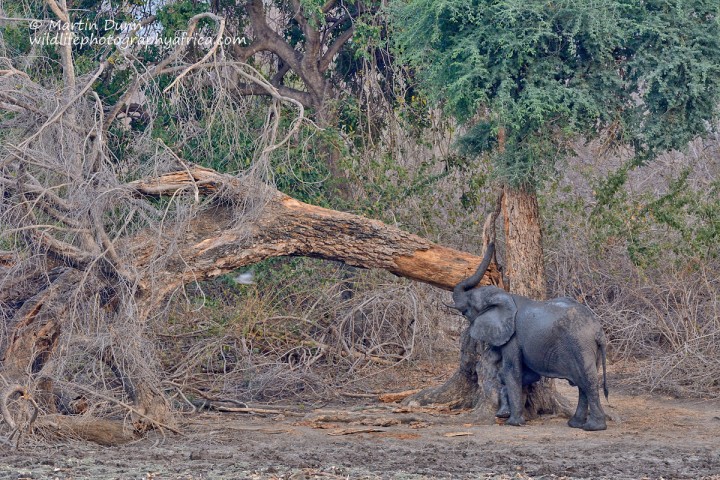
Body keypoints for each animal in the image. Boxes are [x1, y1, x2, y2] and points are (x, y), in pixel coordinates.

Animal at [452, 244, 612, 432]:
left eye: (468, 306)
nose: (493, 243)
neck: (505, 297)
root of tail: (598, 331)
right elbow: (524, 374)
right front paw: (504, 413)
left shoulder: (513, 337)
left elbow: (511, 370)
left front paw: (513, 423)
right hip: (588, 348)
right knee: (583, 383)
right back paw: (575, 424)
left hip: (581, 344)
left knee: (588, 381)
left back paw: (593, 427)